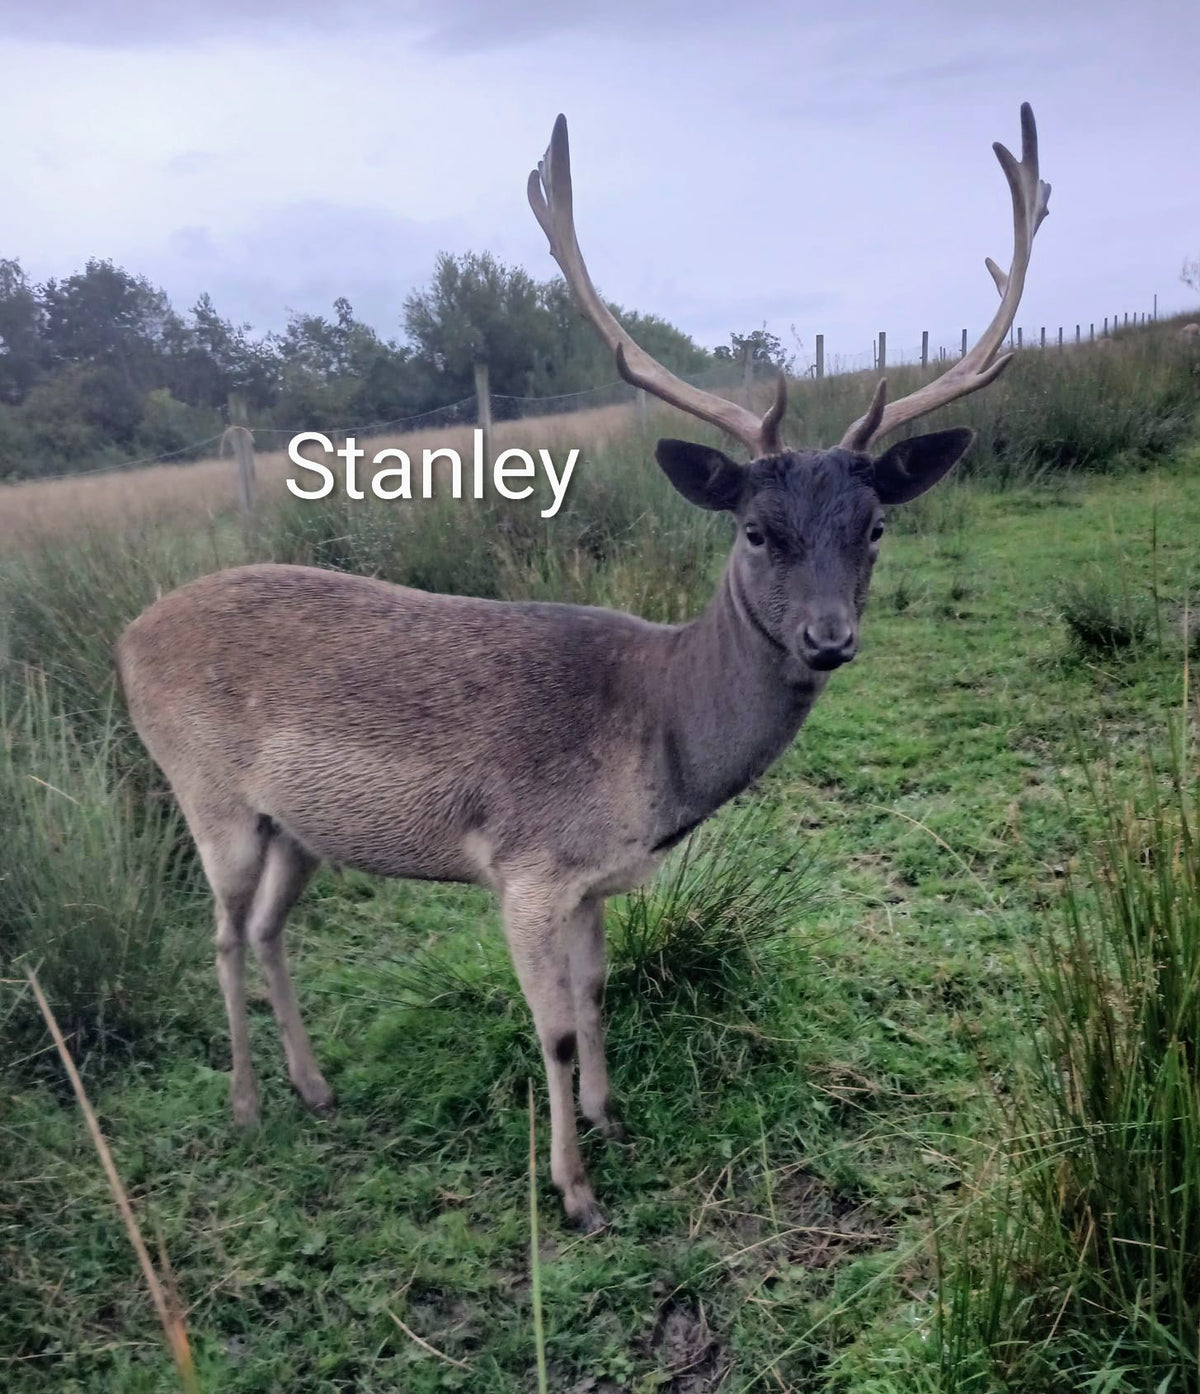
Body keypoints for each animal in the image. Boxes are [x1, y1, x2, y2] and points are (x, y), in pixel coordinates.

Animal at [116, 104, 1050, 1232]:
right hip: (204, 794)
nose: (828, 638)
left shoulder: (598, 877)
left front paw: (611, 1118)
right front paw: (575, 1192)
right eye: (755, 528)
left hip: (297, 825)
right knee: (217, 933)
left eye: (875, 526)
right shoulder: (523, 866)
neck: (656, 749)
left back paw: (316, 1085)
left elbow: (602, 993)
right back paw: (251, 1104)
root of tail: (126, 637)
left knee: (264, 928)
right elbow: (553, 1027)